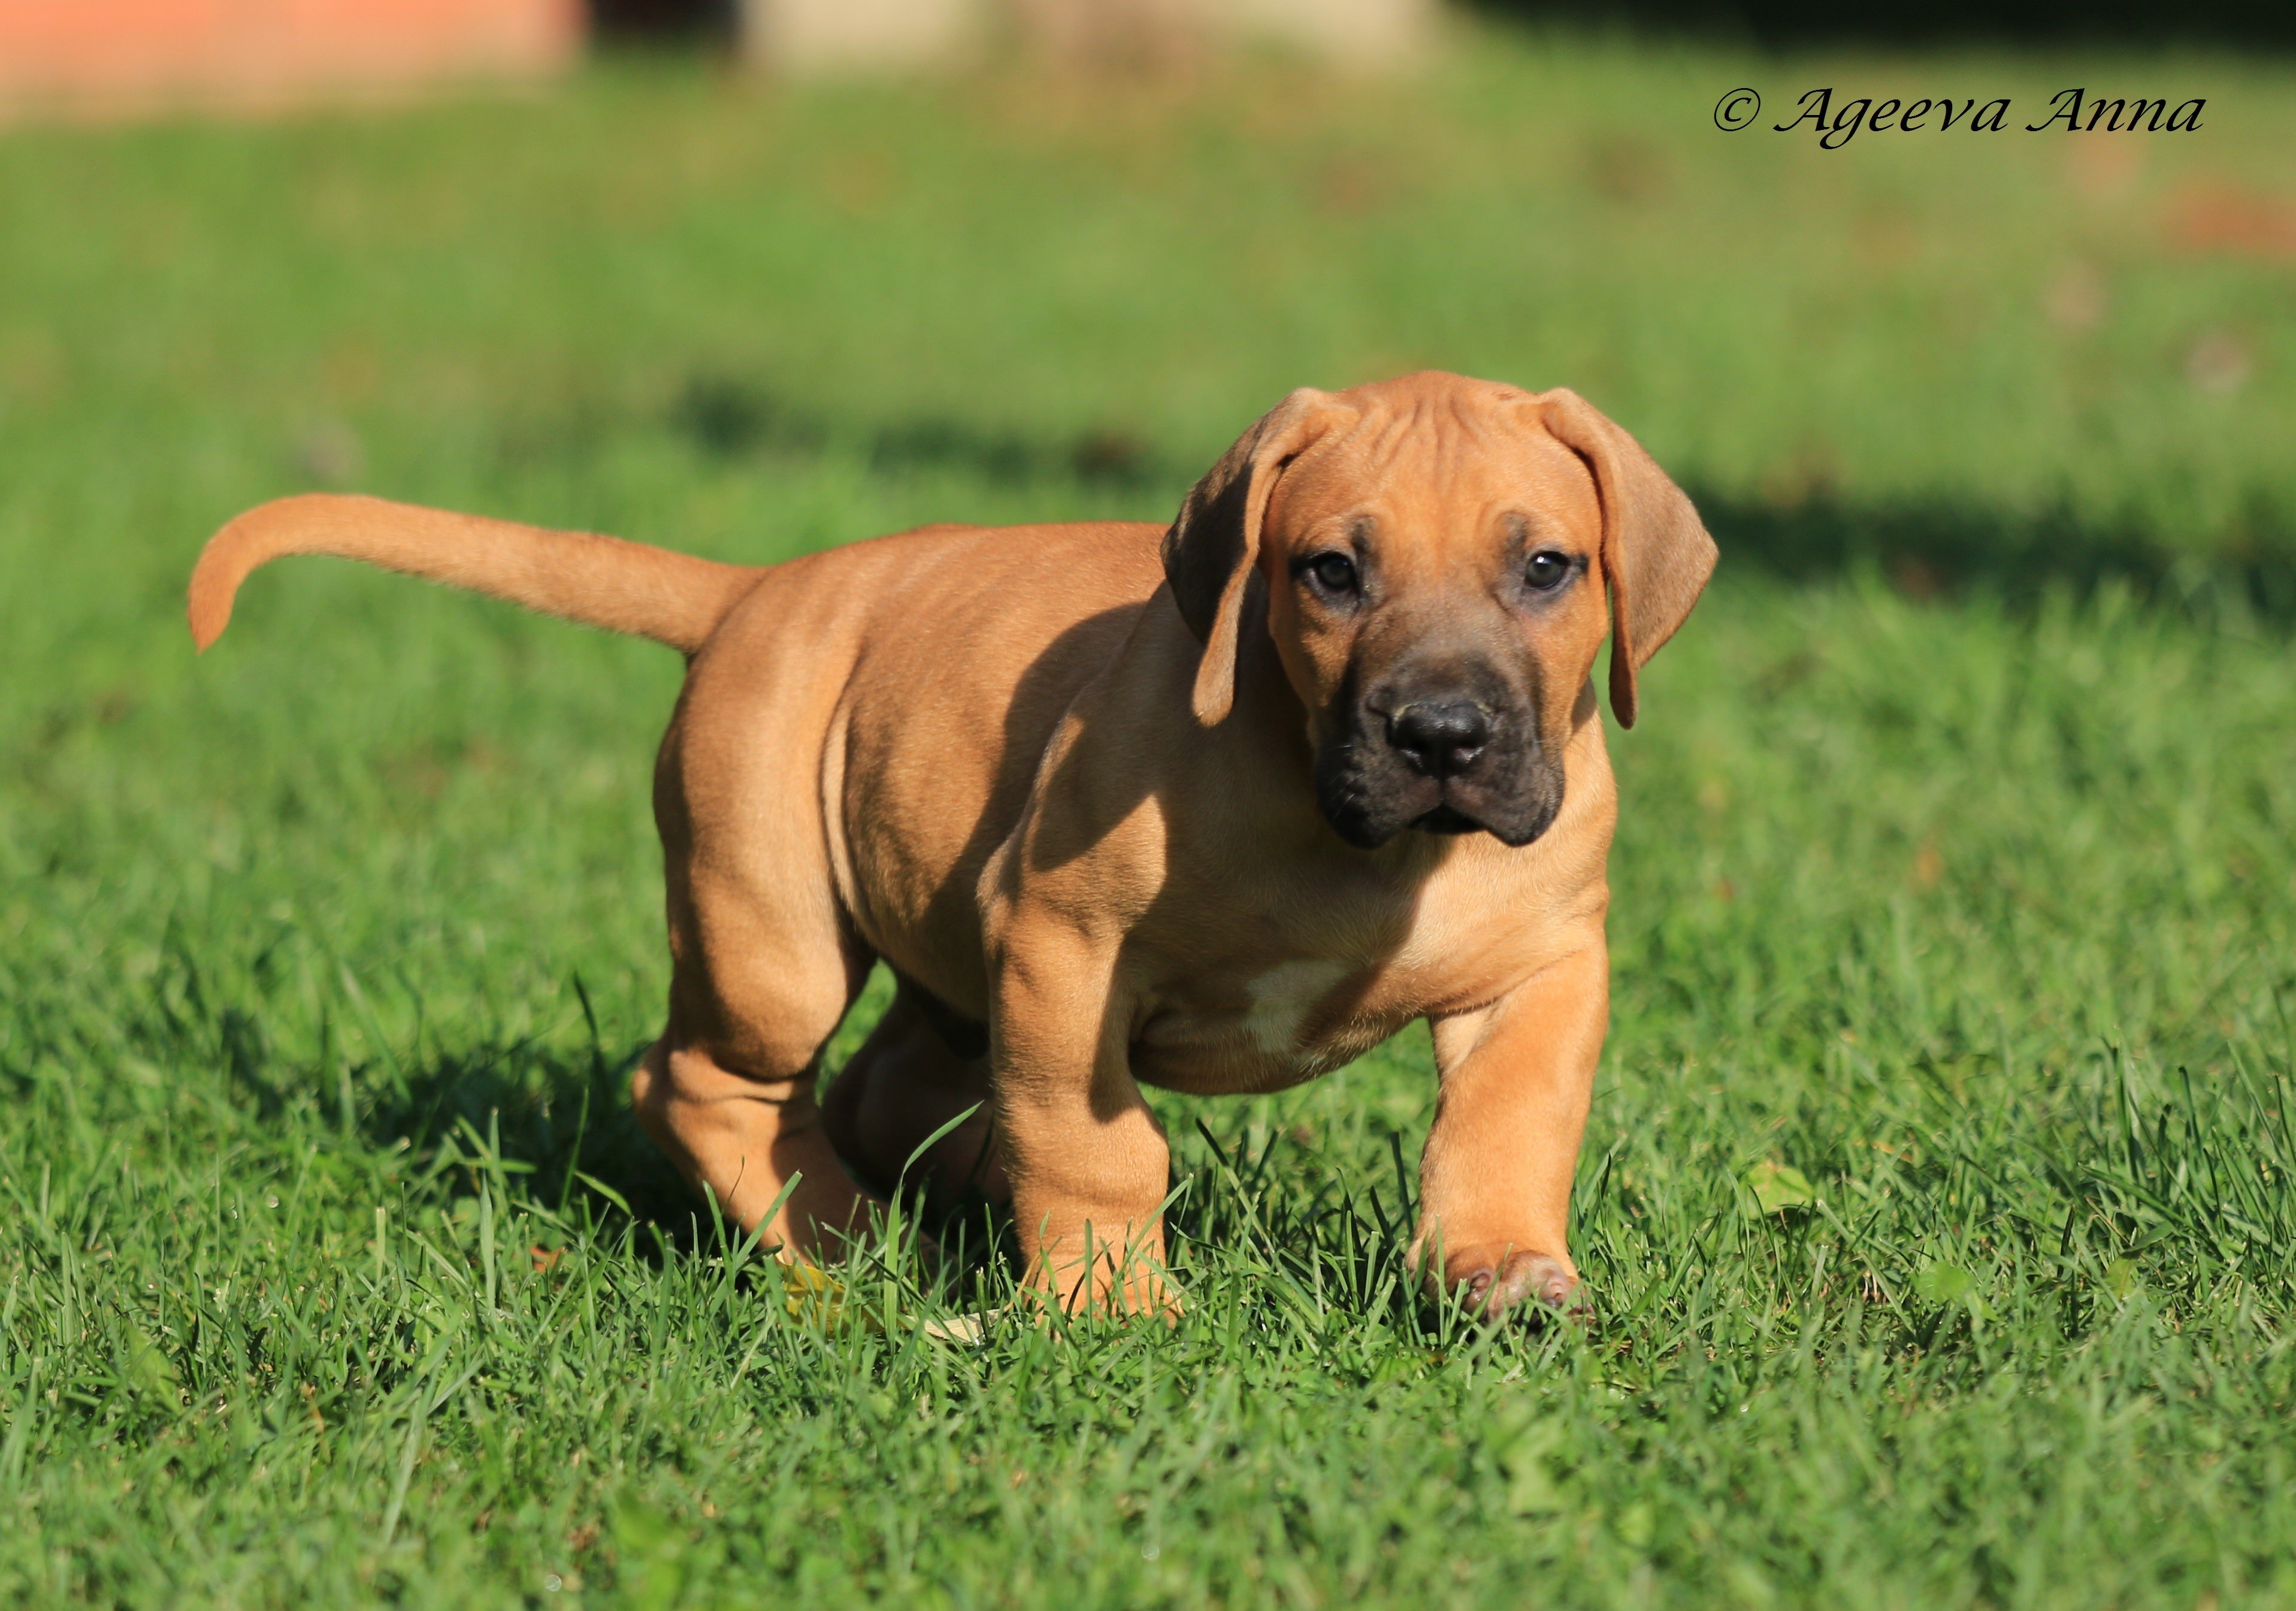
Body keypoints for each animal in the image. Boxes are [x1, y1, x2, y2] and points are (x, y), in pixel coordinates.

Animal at [192, 371, 1708, 1322]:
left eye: (1545, 567)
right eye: (1328, 572)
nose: (1441, 735)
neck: (1354, 843)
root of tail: (751, 591)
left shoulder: (1544, 964)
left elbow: (1507, 1121)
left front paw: (1499, 1271)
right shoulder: (1062, 951)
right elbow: (1100, 1147)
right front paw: (1112, 1307)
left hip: (933, 953)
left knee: (882, 1092)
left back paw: (917, 1210)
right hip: (771, 934)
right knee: (705, 1080)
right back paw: (841, 1247)